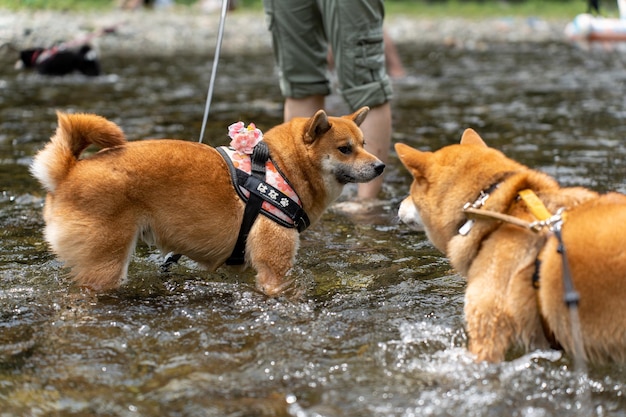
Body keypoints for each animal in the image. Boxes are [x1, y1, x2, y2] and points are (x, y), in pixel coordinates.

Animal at [31, 107, 382, 296]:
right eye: (345, 149)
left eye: (365, 144)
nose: (380, 166)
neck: (282, 167)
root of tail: (68, 170)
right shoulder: (274, 267)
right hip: (105, 265)